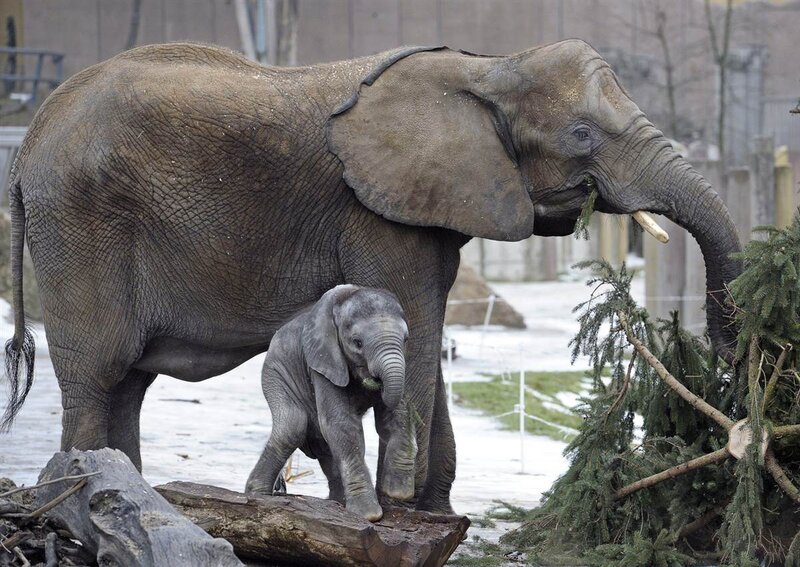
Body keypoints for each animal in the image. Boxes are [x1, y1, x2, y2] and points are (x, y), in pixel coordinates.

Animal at [244, 284, 416, 521]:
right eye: (357, 343)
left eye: (406, 340)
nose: (375, 381)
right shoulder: (323, 362)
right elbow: (341, 425)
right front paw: (368, 514)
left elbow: (394, 415)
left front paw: (398, 491)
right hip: (275, 373)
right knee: (292, 425)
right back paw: (257, 495)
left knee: (324, 444)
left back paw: (337, 502)